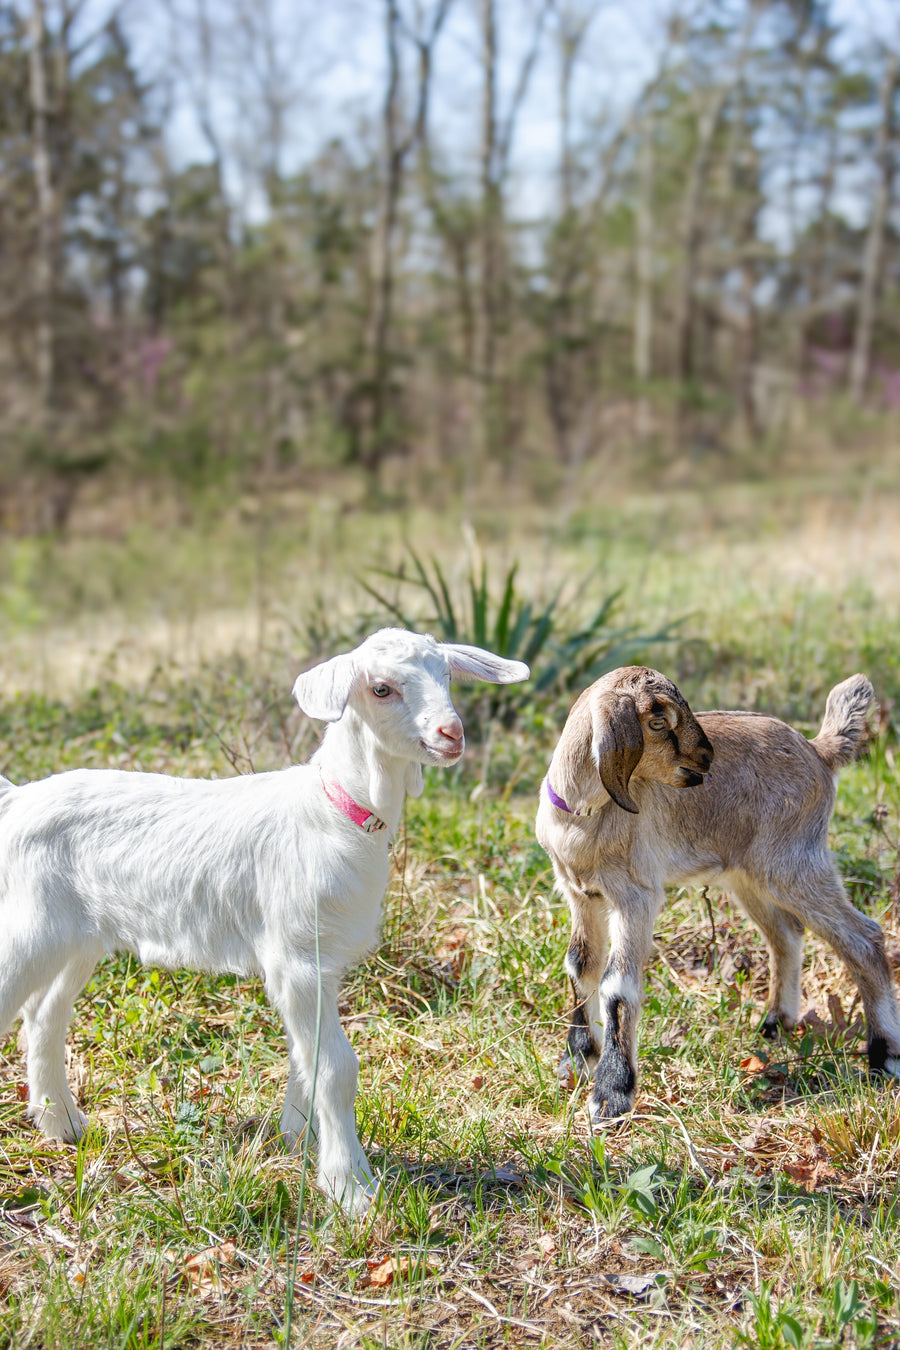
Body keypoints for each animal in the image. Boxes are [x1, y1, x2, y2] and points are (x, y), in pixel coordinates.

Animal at [0, 628, 528, 1215]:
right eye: (381, 688)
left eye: (447, 674)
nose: (450, 734)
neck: (338, 810)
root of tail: (16, 798)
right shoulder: (295, 958)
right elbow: (336, 1067)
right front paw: (351, 1189)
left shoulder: (323, 959)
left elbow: (306, 1058)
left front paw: (297, 1140)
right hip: (30, 926)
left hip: (76, 935)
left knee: (44, 1015)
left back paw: (62, 1123)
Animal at [535, 665, 900, 1126]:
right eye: (658, 720)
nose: (706, 759)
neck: (583, 818)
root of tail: (819, 751)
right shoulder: (581, 894)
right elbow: (580, 966)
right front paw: (579, 1062)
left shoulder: (636, 896)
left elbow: (616, 985)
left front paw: (611, 1098)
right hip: (749, 875)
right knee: (786, 933)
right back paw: (775, 1024)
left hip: (795, 862)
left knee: (864, 938)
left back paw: (884, 1057)